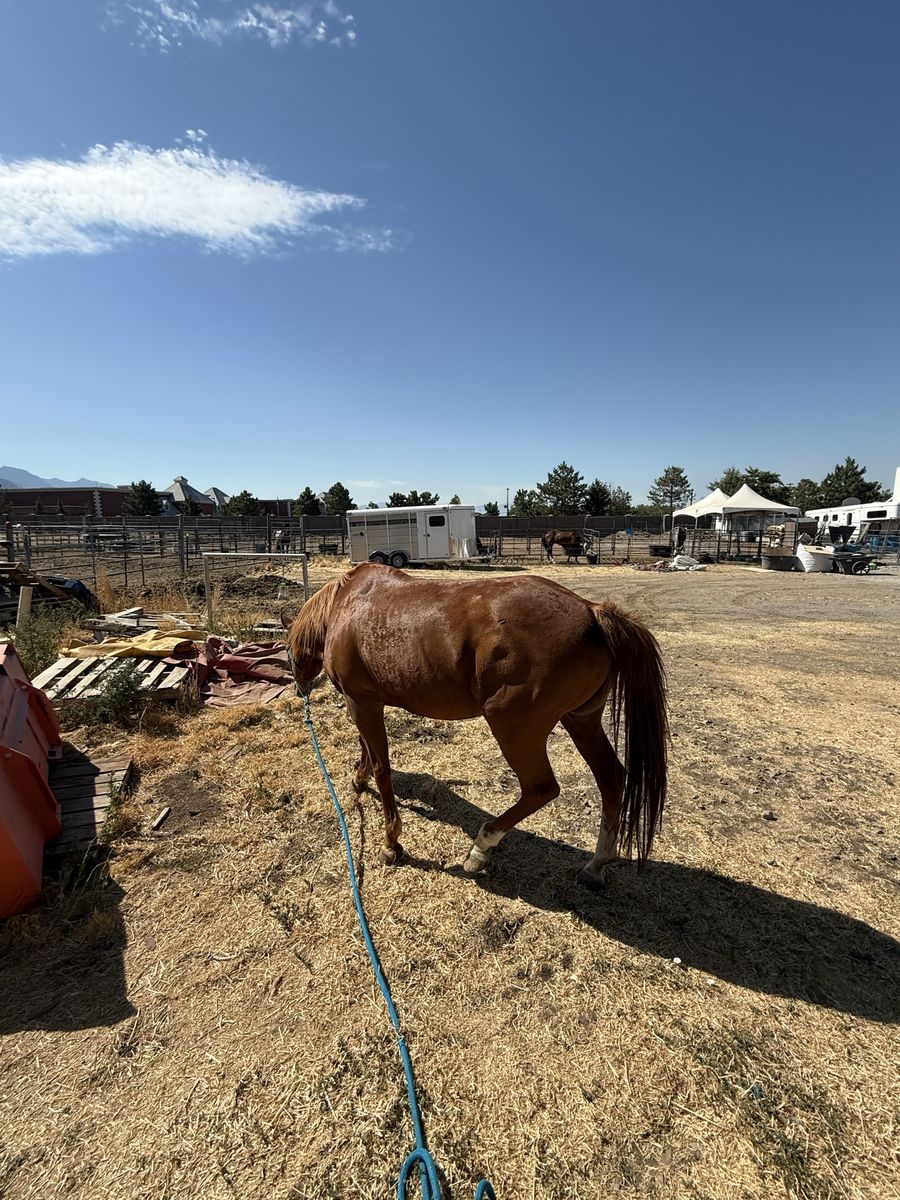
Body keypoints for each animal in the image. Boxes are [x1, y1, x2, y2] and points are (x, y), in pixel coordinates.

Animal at [284, 564, 667, 887]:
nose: (299, 689)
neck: (345, 607)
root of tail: (591, 612)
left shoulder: (362, 702)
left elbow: (382, 766)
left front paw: (391, 841)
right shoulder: (364, 703)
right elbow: (366, 749)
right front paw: (358, 777)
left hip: (514, 729)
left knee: (541, 789)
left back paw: (481, 848)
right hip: (582, 721)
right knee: (612, 778)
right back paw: (596, 865)